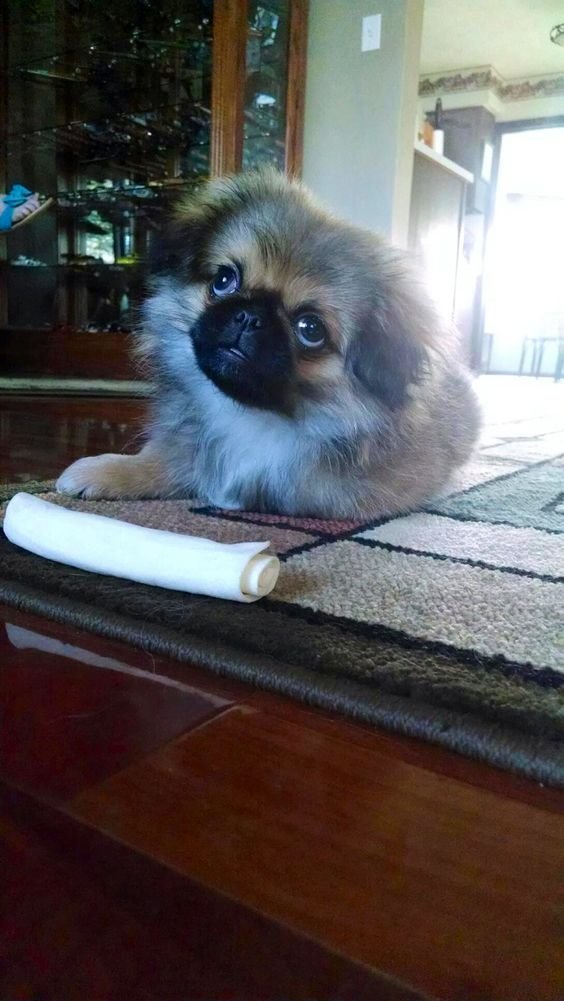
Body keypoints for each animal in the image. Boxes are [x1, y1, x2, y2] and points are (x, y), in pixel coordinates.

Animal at [57, 169, 480, 520]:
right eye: (224, 280)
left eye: (310, 328)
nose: (249, 317)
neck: (248, 415)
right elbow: (165, 459)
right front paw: (105, 470)